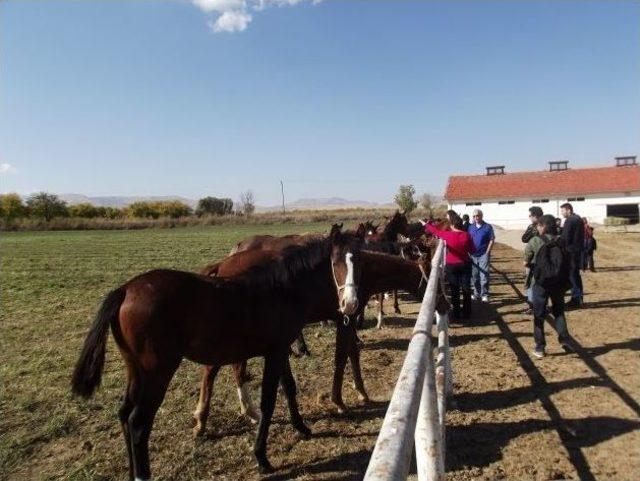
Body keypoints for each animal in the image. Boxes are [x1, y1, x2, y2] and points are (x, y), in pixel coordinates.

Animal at [70, 224, 362, 476]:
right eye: (336, 261)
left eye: (359, 260)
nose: (350, 305)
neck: (282, 289)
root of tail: (125, 289)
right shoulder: (274, 353)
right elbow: (268, 401)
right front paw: (261, 457)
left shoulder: (279, 352)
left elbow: (288, 388)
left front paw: (301, 427)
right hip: (157, 372)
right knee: (138, 423)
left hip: (136, 370)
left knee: (123, 414)